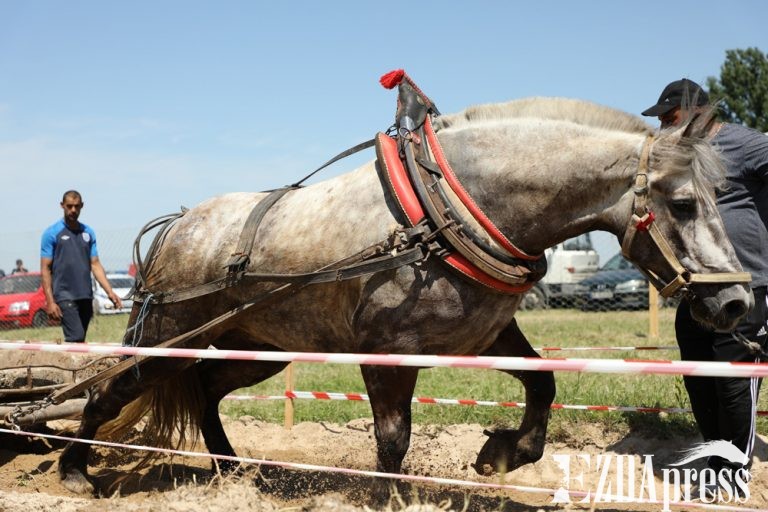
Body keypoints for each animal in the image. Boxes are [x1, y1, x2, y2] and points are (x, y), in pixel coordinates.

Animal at [58, 81, 752, 496]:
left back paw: (234, 471)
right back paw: (73, 468)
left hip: (256, 349)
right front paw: (390, 496)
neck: (443, 214)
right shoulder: (387, 352)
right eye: (684, 204)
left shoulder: (488, 335)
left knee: (204, 392)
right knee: (108, 390)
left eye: (722, 196)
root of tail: (178, 226)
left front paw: (504, 453)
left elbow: (544, 383)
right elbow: (393, 437)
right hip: (168, 339)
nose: (736, 302)